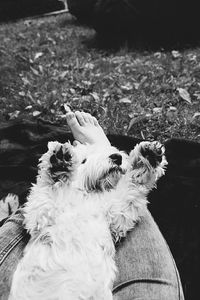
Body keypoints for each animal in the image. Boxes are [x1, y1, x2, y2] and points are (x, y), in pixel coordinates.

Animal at [8, 141, 167, 300]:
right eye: (84, 160)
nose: (116, 157)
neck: (85, 195)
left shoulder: (116, 214)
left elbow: (132, 185)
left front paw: (148, 156)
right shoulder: (41, 214)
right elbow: (51, 188)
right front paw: (59, 165)